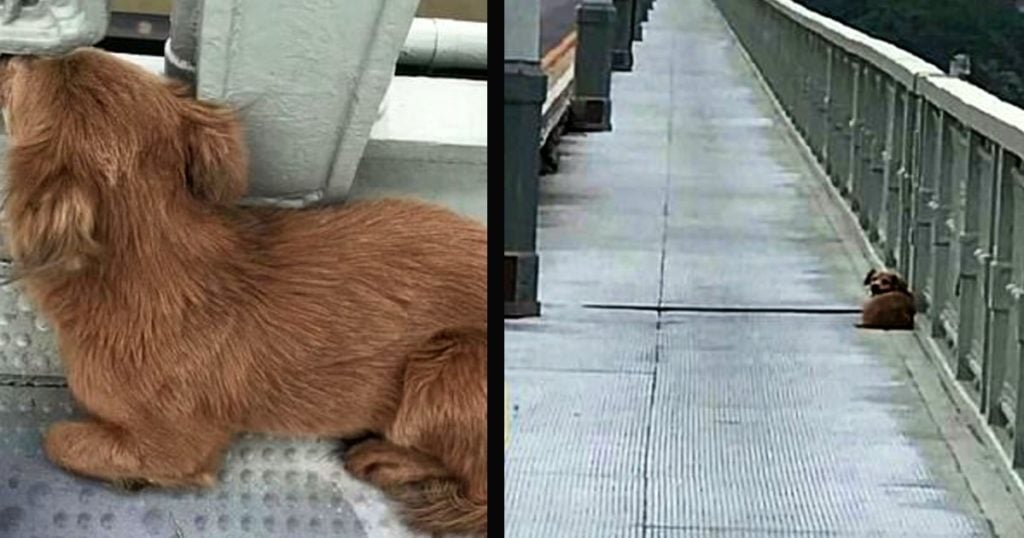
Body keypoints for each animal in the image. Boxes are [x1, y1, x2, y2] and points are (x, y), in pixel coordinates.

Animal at [0, 48, 487, 532]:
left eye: (28, 70)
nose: (13, 54)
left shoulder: (174, 444)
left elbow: (57, 438)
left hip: (444, 367)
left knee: (476, 484)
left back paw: (388, 460)